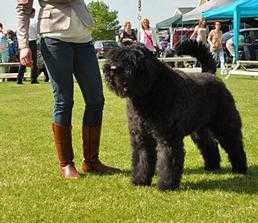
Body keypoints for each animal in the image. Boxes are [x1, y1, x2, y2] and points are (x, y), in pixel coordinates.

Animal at [103, 40, 248, 190]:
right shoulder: (141, 138)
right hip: (200, 130)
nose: (112, 68)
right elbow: (142, 160)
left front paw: (166, 184)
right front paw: (139, 180)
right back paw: (212, 166)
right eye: (113, 55)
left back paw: (240, 168)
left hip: (225, 124)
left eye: (133, 59)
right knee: (209, 144)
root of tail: (212, 75)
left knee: (234, 144)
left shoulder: (168, 137)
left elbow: (168, 160)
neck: (148, 93)